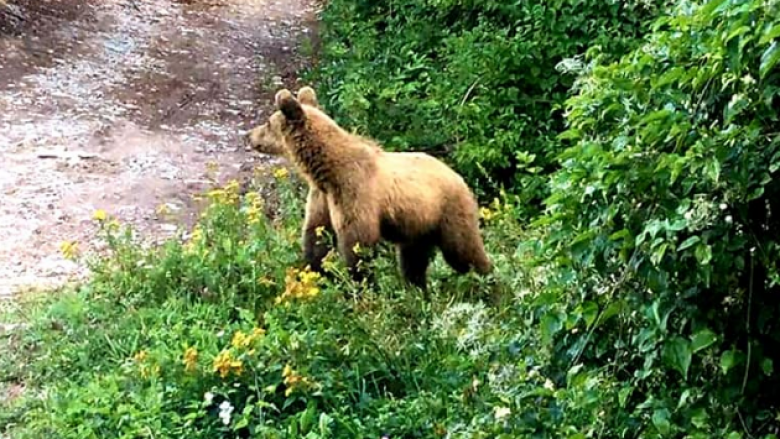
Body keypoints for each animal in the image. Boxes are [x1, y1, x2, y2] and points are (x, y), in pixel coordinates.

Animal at [245, 87, 488, 290]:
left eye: (268, 123)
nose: (249, 135)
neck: (326, 170)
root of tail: (458, 176)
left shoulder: (355, 193)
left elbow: (358, 244)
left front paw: (360, 285)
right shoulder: (323, 197)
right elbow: (316, 236)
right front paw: (318, 272)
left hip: (448, 211)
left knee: (464, 251)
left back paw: (488, 283)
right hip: (417, 225)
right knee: (413, 261)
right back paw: (417, 291)